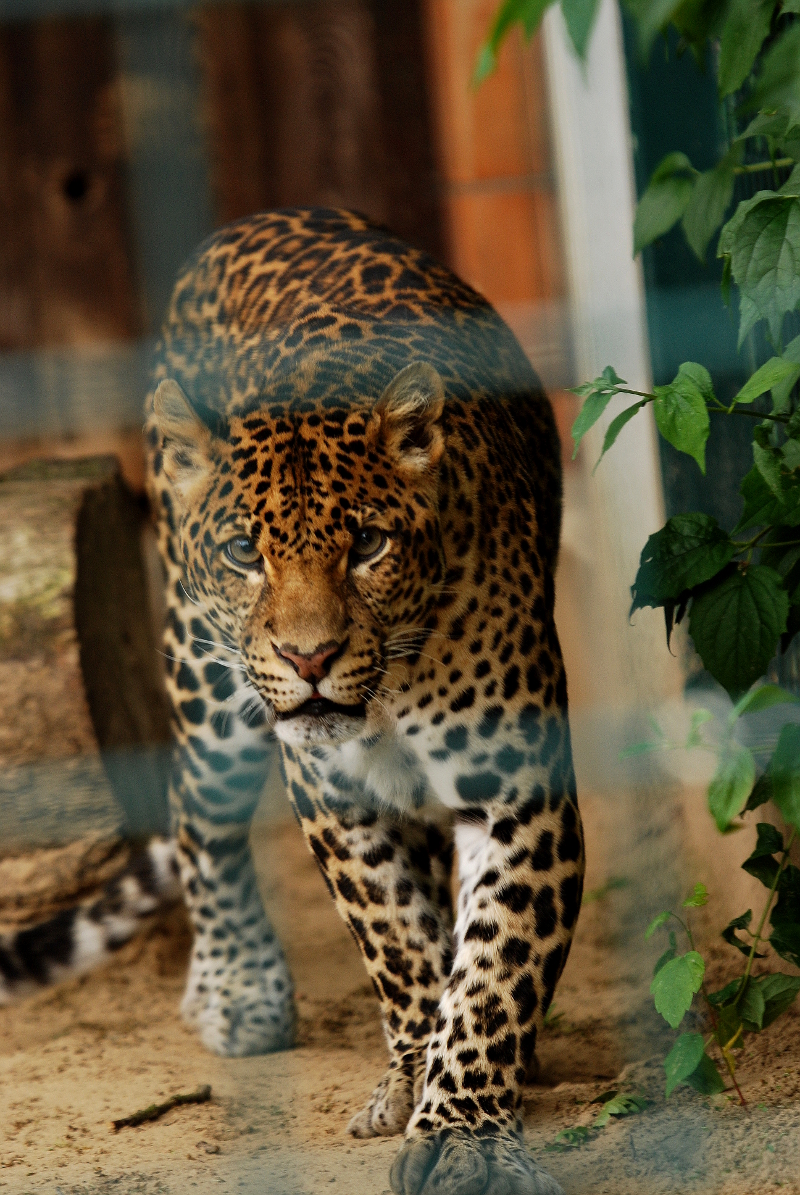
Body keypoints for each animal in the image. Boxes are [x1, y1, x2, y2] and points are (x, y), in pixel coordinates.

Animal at [3, 208, 584, 1195]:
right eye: (246, 553)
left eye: (370, 545)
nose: (309, 656)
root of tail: (263, 218)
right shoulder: (333, 796)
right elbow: (399, 943)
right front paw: (417, 1074)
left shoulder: (520, 789)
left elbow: (494, 963)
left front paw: (465, 1123)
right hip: (203, 686)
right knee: (202, 824)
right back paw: (236, 989)